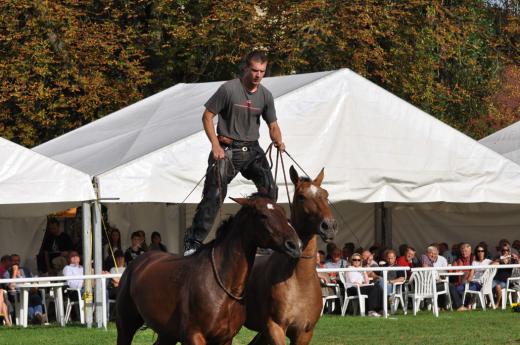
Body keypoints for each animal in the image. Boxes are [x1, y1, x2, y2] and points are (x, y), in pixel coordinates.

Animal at [114, 194, 300, 344]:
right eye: (263, 215)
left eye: (283, 212)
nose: (295, 245)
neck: (223, 287)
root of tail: (137, 263)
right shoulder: (194, 336)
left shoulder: (225, 339)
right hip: (125, 326)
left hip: (167, 334)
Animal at [244, 165, 338, 342]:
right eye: (301, 196)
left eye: (326, 194)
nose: (328, 226)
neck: (299, 279)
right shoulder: (275, 328)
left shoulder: (305, 332)